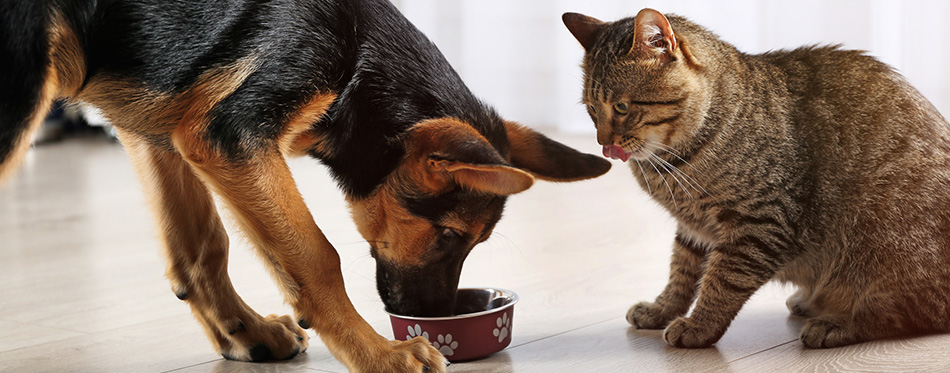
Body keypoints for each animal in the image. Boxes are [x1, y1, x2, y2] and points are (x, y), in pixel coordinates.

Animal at [0, 0, 608, 370]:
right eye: (450, 235)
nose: (439, 320)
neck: (357, 58)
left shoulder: (164, 130)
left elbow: (202, 248)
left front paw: (240, 331)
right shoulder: (231, 137)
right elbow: (317, 257)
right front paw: (380, 354)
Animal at [564, 7, 950, 348]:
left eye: (622, 107)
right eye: (591, 110)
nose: (603, 144)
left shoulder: (760, 223)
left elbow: (722, 281)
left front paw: (699, 326)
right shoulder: (694, 229)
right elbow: (681, 273)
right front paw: (661, 310)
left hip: (877, 244)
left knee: (905, 314)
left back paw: (835, 324)